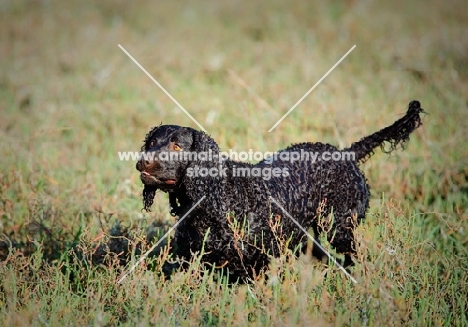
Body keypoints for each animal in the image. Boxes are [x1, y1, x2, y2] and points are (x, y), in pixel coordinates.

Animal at [135, 100, 424, 282]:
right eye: (151, 142)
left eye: (177, 146)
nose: (143, 161)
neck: (218, 196)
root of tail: (346, 153)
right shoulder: (194, 258)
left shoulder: (254, 262)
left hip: (340, 228)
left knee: (353, 257)